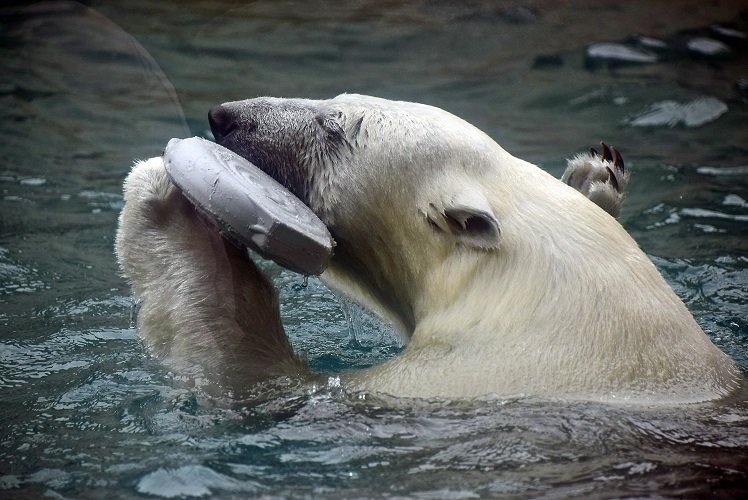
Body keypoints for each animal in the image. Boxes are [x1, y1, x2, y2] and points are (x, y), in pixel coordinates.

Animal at [117, 94, 744, 406]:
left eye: (334, 126)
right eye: (334, 96)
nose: (224, 117)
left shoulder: (456, 381)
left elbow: (255, 382)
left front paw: (166, 202)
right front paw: (594, 177)